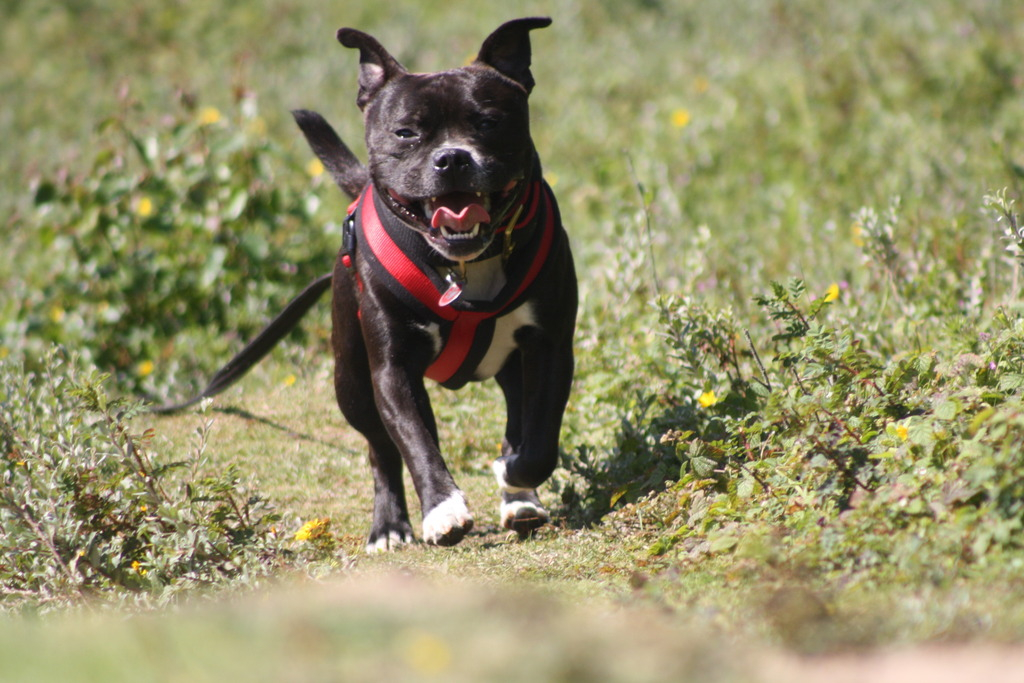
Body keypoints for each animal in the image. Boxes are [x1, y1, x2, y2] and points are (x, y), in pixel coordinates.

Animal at [159, 17, 577, 548]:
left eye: (488, 122)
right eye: (406, 132)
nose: (452, 158)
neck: (463, 266)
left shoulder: (549, 346)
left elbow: (538, 441)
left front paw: (514, 476)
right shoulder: (391, 372)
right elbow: (416, 443)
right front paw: (443, 509)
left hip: (507, 366)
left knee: (515, 417)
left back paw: (519, 500)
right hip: (352, 381)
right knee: (382, 448)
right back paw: (391, 524)